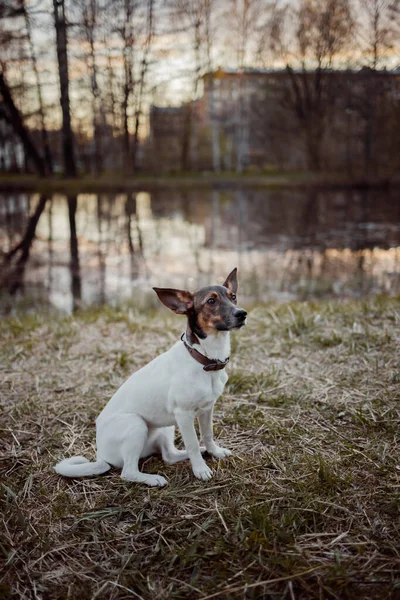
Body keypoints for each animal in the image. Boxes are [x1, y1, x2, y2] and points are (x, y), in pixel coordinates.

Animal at [53, 270, 247, 486]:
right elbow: (193, 444)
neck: (203, 358)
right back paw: (153, 479)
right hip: (136, 425)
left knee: (168, 456)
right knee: (128, 472)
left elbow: (207, 434)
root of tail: (100, 456)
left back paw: (199, 453)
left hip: (165, 427)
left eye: (233, 296)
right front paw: (200, 469)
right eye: (211, 301)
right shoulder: (184, 415)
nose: (242, 313)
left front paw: (214, 452)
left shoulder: (207, 409)